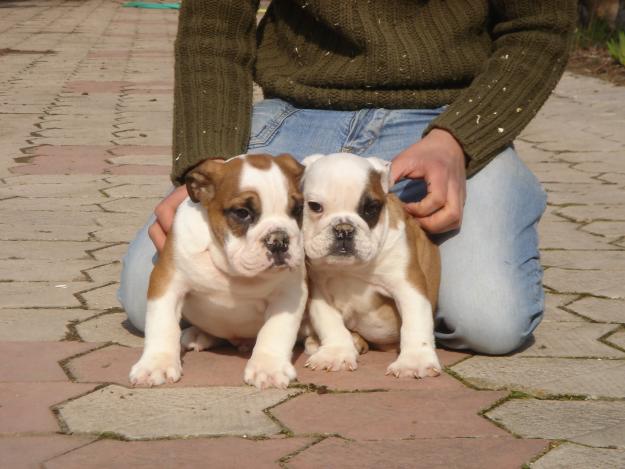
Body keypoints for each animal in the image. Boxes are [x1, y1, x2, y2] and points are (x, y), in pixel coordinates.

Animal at [129, 153, 308, 388]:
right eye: (242, 213)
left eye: (297, 210)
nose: (279, 240)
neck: (229, 267)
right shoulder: (167, 282)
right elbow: (162, 323)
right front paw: (156, 364)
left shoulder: (289, 293)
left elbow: (276, 329)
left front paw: (268, 367)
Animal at [302, 152, 438, 378]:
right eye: (314, 206)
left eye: (371, 208)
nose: (344, 229)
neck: (350, 268)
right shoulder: (319, 290)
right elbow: (330, 322)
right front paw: (336, 353)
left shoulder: (408, 285)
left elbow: (415, 321)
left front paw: (414, 361)